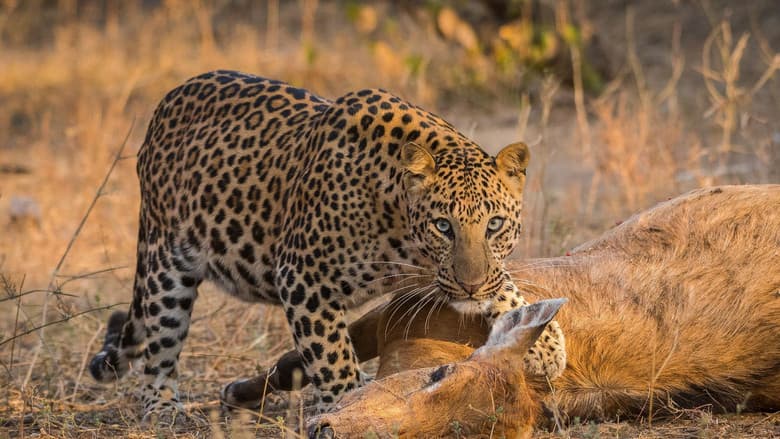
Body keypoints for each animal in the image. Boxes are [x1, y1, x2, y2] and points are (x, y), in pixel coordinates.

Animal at [88, 70, 565, 421]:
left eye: (495, 224)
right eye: (443, 226)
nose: (470, 287)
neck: (398, 223)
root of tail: (169, 99)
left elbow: (504, 284)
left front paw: (546, 343)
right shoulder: (302, 278)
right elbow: (333, 360)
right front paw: (349, 406)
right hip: (165, 264)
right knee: (158, 345)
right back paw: (163, 409)